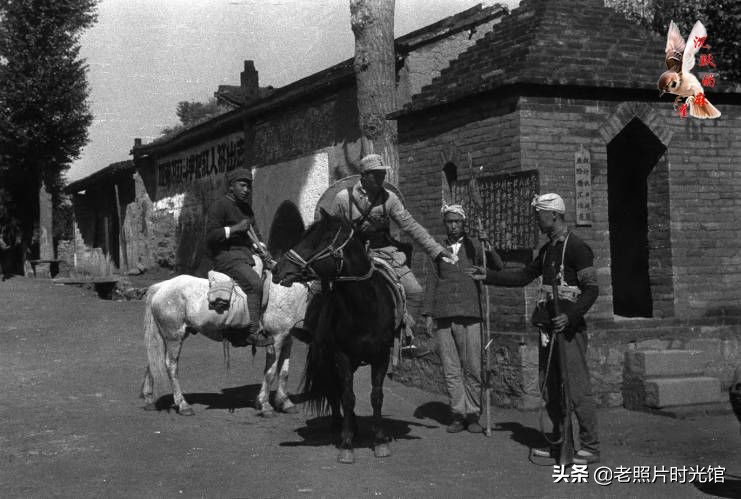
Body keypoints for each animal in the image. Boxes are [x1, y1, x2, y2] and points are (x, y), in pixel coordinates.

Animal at [139, 258, 310, 418]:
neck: (288, 290)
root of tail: (161, 287)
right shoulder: (276, 338)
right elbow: (271, 372)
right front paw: (265, 405)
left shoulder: (287, 338)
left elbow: (284, 372)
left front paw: (285, 402)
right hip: (174, 336)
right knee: (171, 366)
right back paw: (183, 405)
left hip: (165, 336)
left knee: (152, 361)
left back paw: (149, 400)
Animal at [274, 208, 398, 464]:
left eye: (315, 242)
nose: (276, 269)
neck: (364, 308)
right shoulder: (341, 355)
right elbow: (348, 396)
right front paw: (347, 444)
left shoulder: (381, 355)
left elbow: (376, 396)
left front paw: (380, 441)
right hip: (327, 355)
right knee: (335, 390)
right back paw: (339, 426)